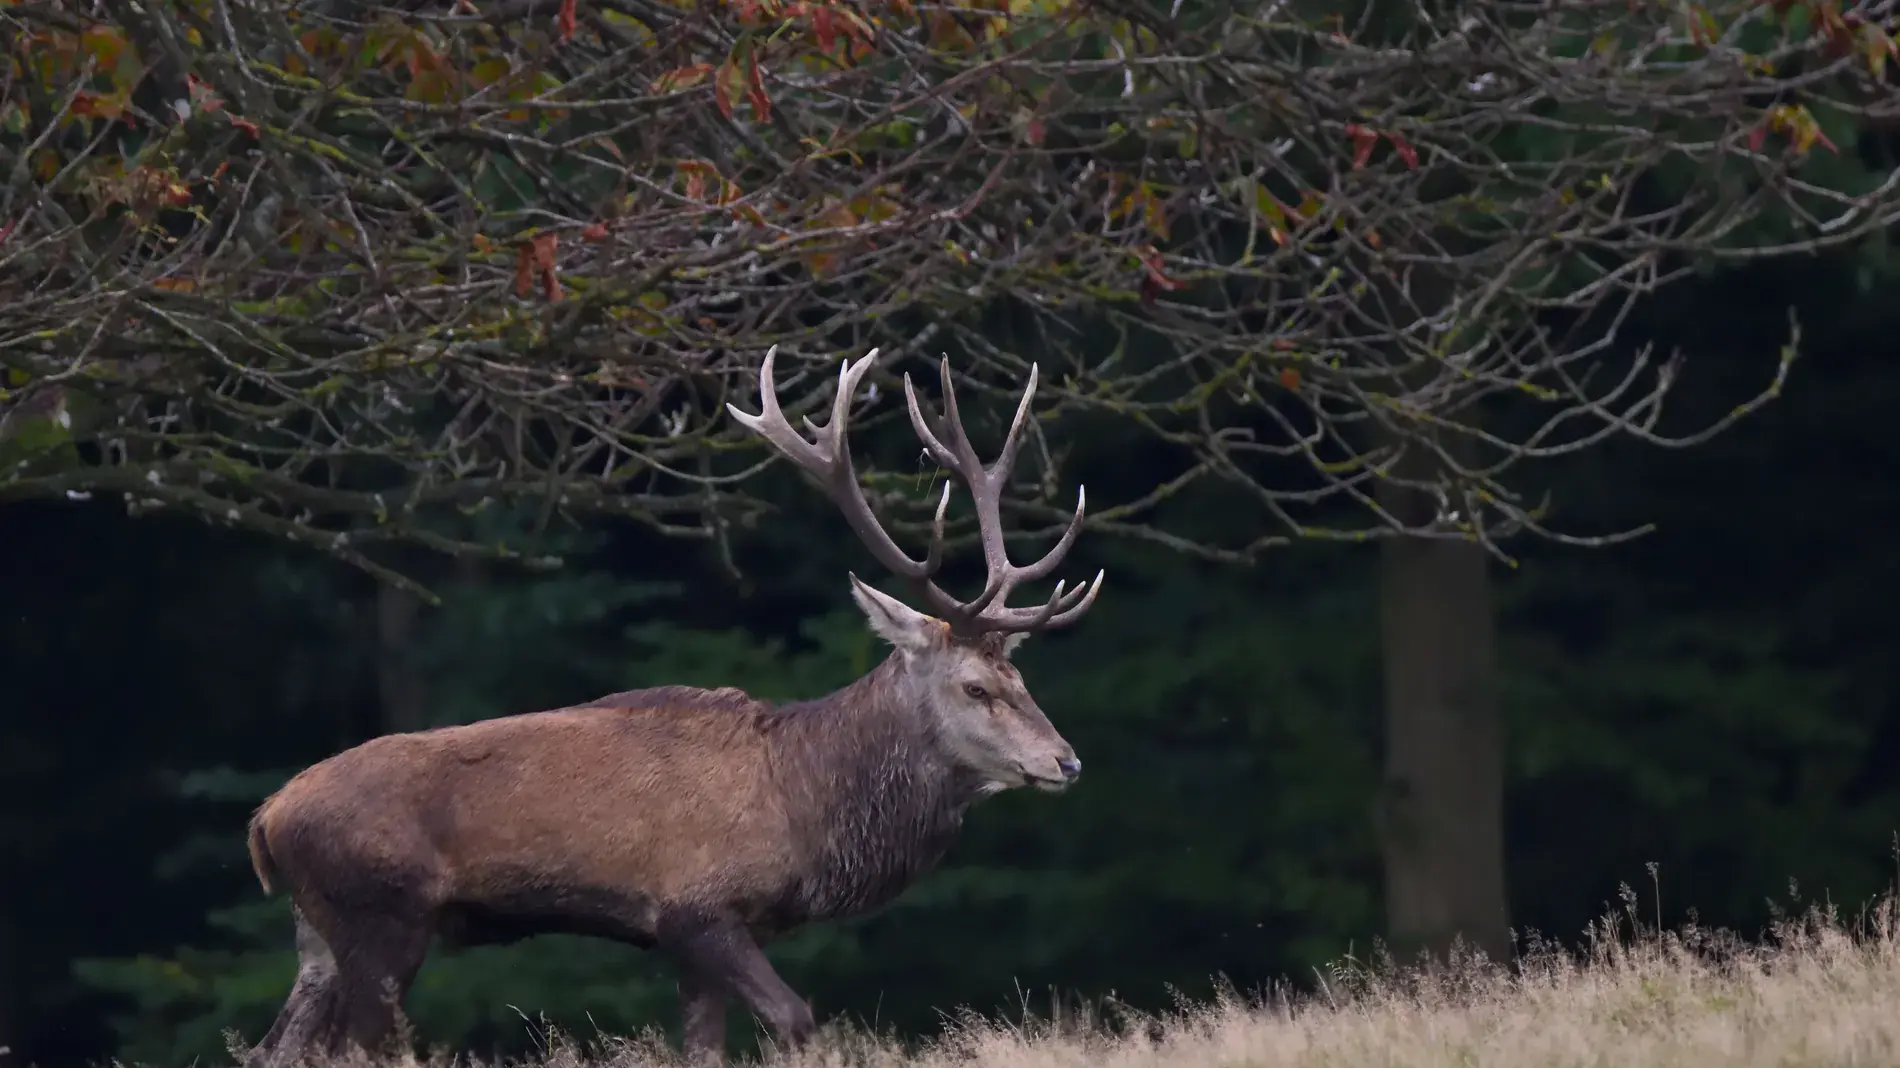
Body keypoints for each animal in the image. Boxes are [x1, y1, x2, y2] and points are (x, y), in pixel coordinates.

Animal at [242, 347, 1106, 1068]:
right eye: (974, 687)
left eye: (1022, 679)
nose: (1067, 761)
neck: (802, 805)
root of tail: (267, 820)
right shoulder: (697, 907)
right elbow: (796, 1018)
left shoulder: (696, 939)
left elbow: (704, 1049)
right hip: (379, 913)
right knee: (356, 1047)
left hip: (317, 936)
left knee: (274, 1049)